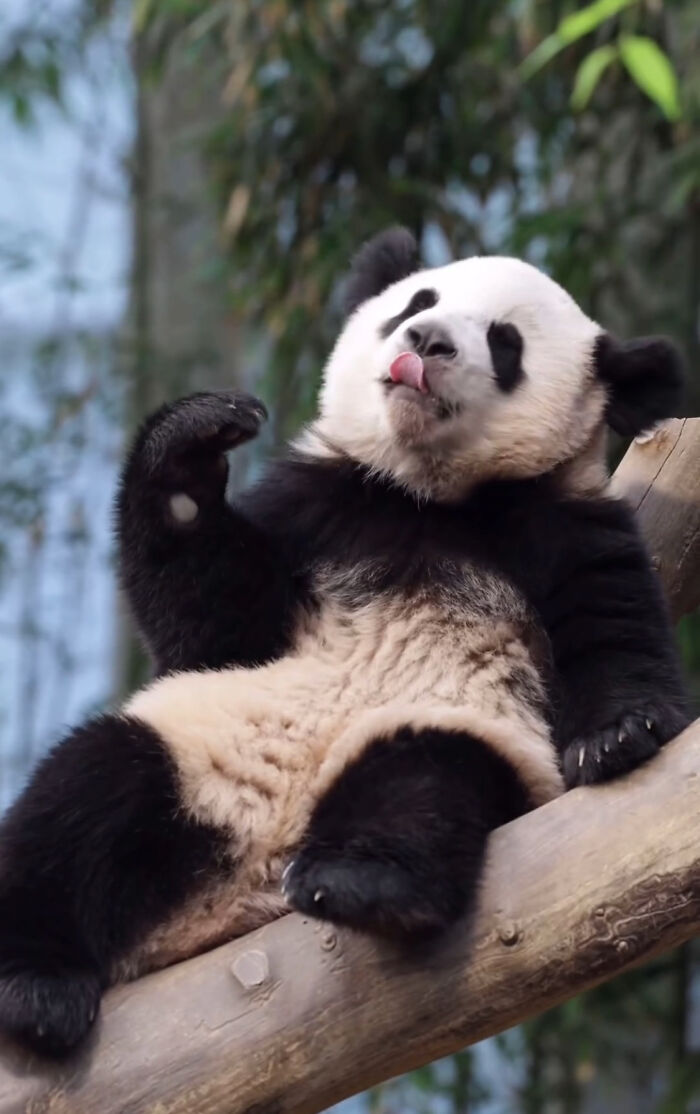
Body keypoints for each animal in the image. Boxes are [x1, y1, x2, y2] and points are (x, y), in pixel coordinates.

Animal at [0, 228, 690, 1057]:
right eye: (417, 301)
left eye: (505, 342)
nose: (425, 342)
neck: (430, 499)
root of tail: (244, 887)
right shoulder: (317, 508)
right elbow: (209, 627)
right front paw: (195, 439)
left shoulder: (562, 520)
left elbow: (612, 625)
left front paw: (618, 735)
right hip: (196, 743)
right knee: (83, 797)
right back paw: (36, 987)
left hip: (457, 730)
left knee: (420, 782)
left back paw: (361, 883)